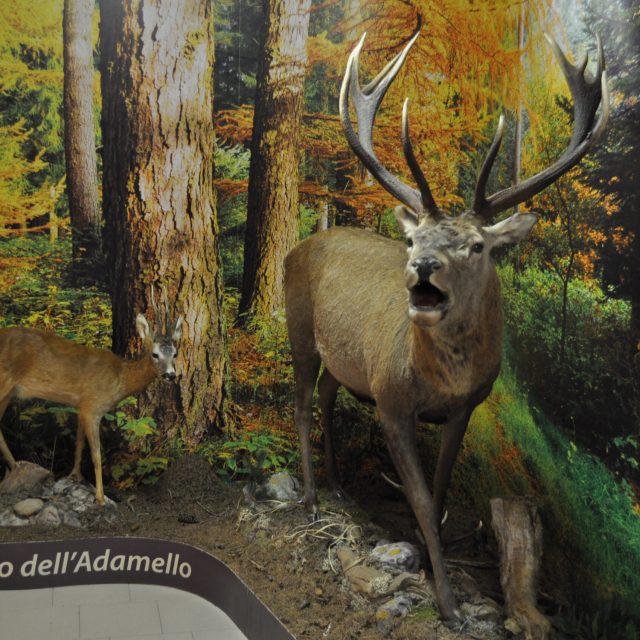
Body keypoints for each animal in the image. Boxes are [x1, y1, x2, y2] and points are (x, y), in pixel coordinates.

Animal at [0, 289, 183, 506]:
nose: (170, 375)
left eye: (175, 354)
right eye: (155, 354)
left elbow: (79, 442)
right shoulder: (94, 407)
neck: (120, 377)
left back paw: (16, 467)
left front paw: (75, 476)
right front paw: (100, 498)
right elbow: (96, 455)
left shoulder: (82, 405)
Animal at [284, 31, 608, 621]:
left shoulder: (466, 408)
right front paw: (450, 603)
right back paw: (313, 498)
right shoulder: (391, 401)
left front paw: (437, 568)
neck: (441, 380)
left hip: (345, 362)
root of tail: (299, 245)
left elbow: (436, 495)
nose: (422, 266)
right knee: (298, 403)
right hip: (298, 327)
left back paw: (339, 487)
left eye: (477, 246)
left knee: (325, 398)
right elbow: (415, 494)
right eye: (414, 239)